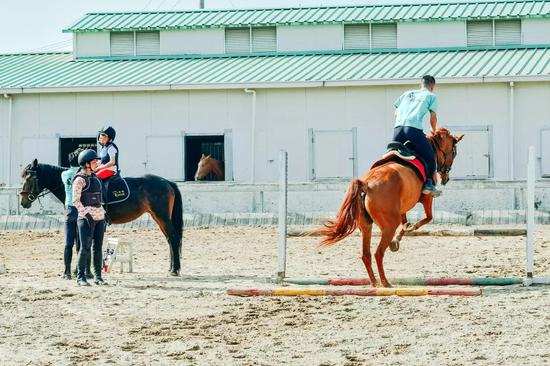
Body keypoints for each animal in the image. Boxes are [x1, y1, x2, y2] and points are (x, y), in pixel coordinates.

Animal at [20, 159, 184, 276]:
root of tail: (166, 182)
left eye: (29, 178)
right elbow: (81, 245)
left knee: (173, 238)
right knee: (169, 239)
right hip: (158, 217)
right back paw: (171, 268)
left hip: (162, 217)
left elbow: (84, 244)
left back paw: (175, 269)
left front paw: (83, 271)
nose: (23, 201)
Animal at [314, 129, 466, 288]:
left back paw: (374, 283)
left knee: (366, 255)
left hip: (366, 226)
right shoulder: (426, 199)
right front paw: (410, 229)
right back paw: (385, 282)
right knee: (378, 253)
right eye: (454, 152)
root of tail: (367, 183)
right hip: (389, 226)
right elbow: (427, 218)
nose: (446, 177)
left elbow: (404, 223)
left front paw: (397, 240)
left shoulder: (402, 208)